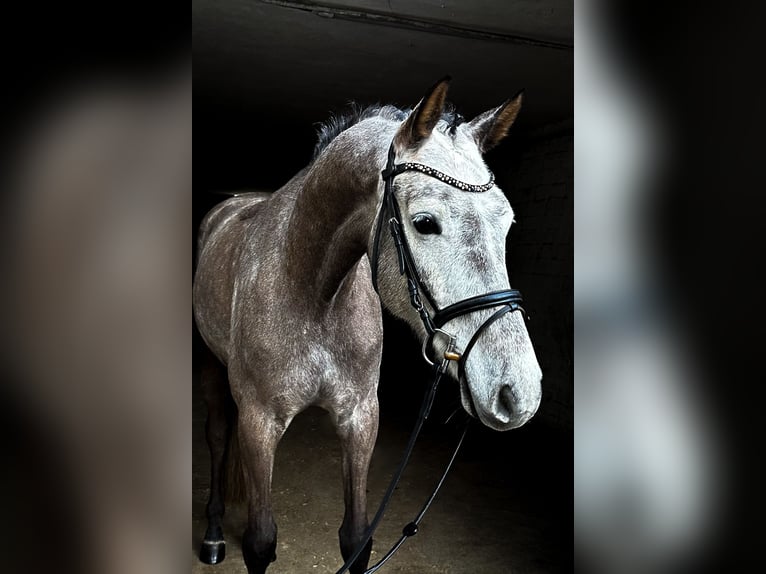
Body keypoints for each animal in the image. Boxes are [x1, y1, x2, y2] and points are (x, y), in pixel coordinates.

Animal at [193, 78, 542, 574]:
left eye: (508, 222)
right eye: (424, 222)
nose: (519, 392)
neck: (312, 291)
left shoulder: (360, 417)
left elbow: (356, 540)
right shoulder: (259, 423)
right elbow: (260, 543)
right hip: (211, 367)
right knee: (218, 436)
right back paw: (213, 535)